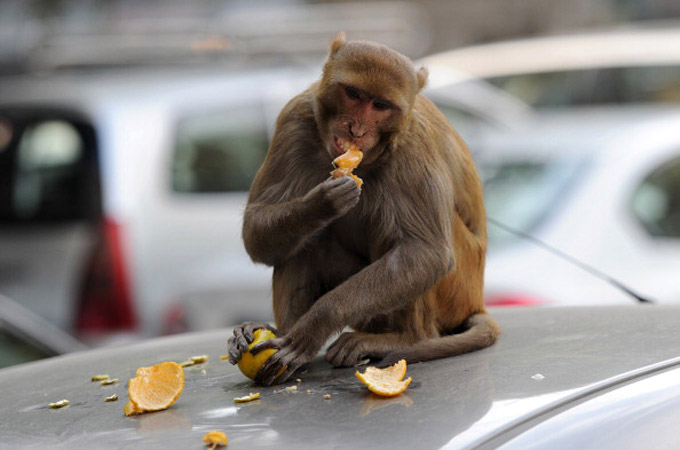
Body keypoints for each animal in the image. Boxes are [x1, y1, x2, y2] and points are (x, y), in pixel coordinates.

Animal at [227, 32, 499, 385]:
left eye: (380, 106)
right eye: (354, 94)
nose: (356, 129)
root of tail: (476, 301)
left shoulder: (413, 145)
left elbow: (426, 252)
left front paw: (314, 327)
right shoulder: (294, 119)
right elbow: (255, 229)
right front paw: (320, 204)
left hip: (456, 292)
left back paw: (403, 338)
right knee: (304, 243)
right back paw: (281, 333)